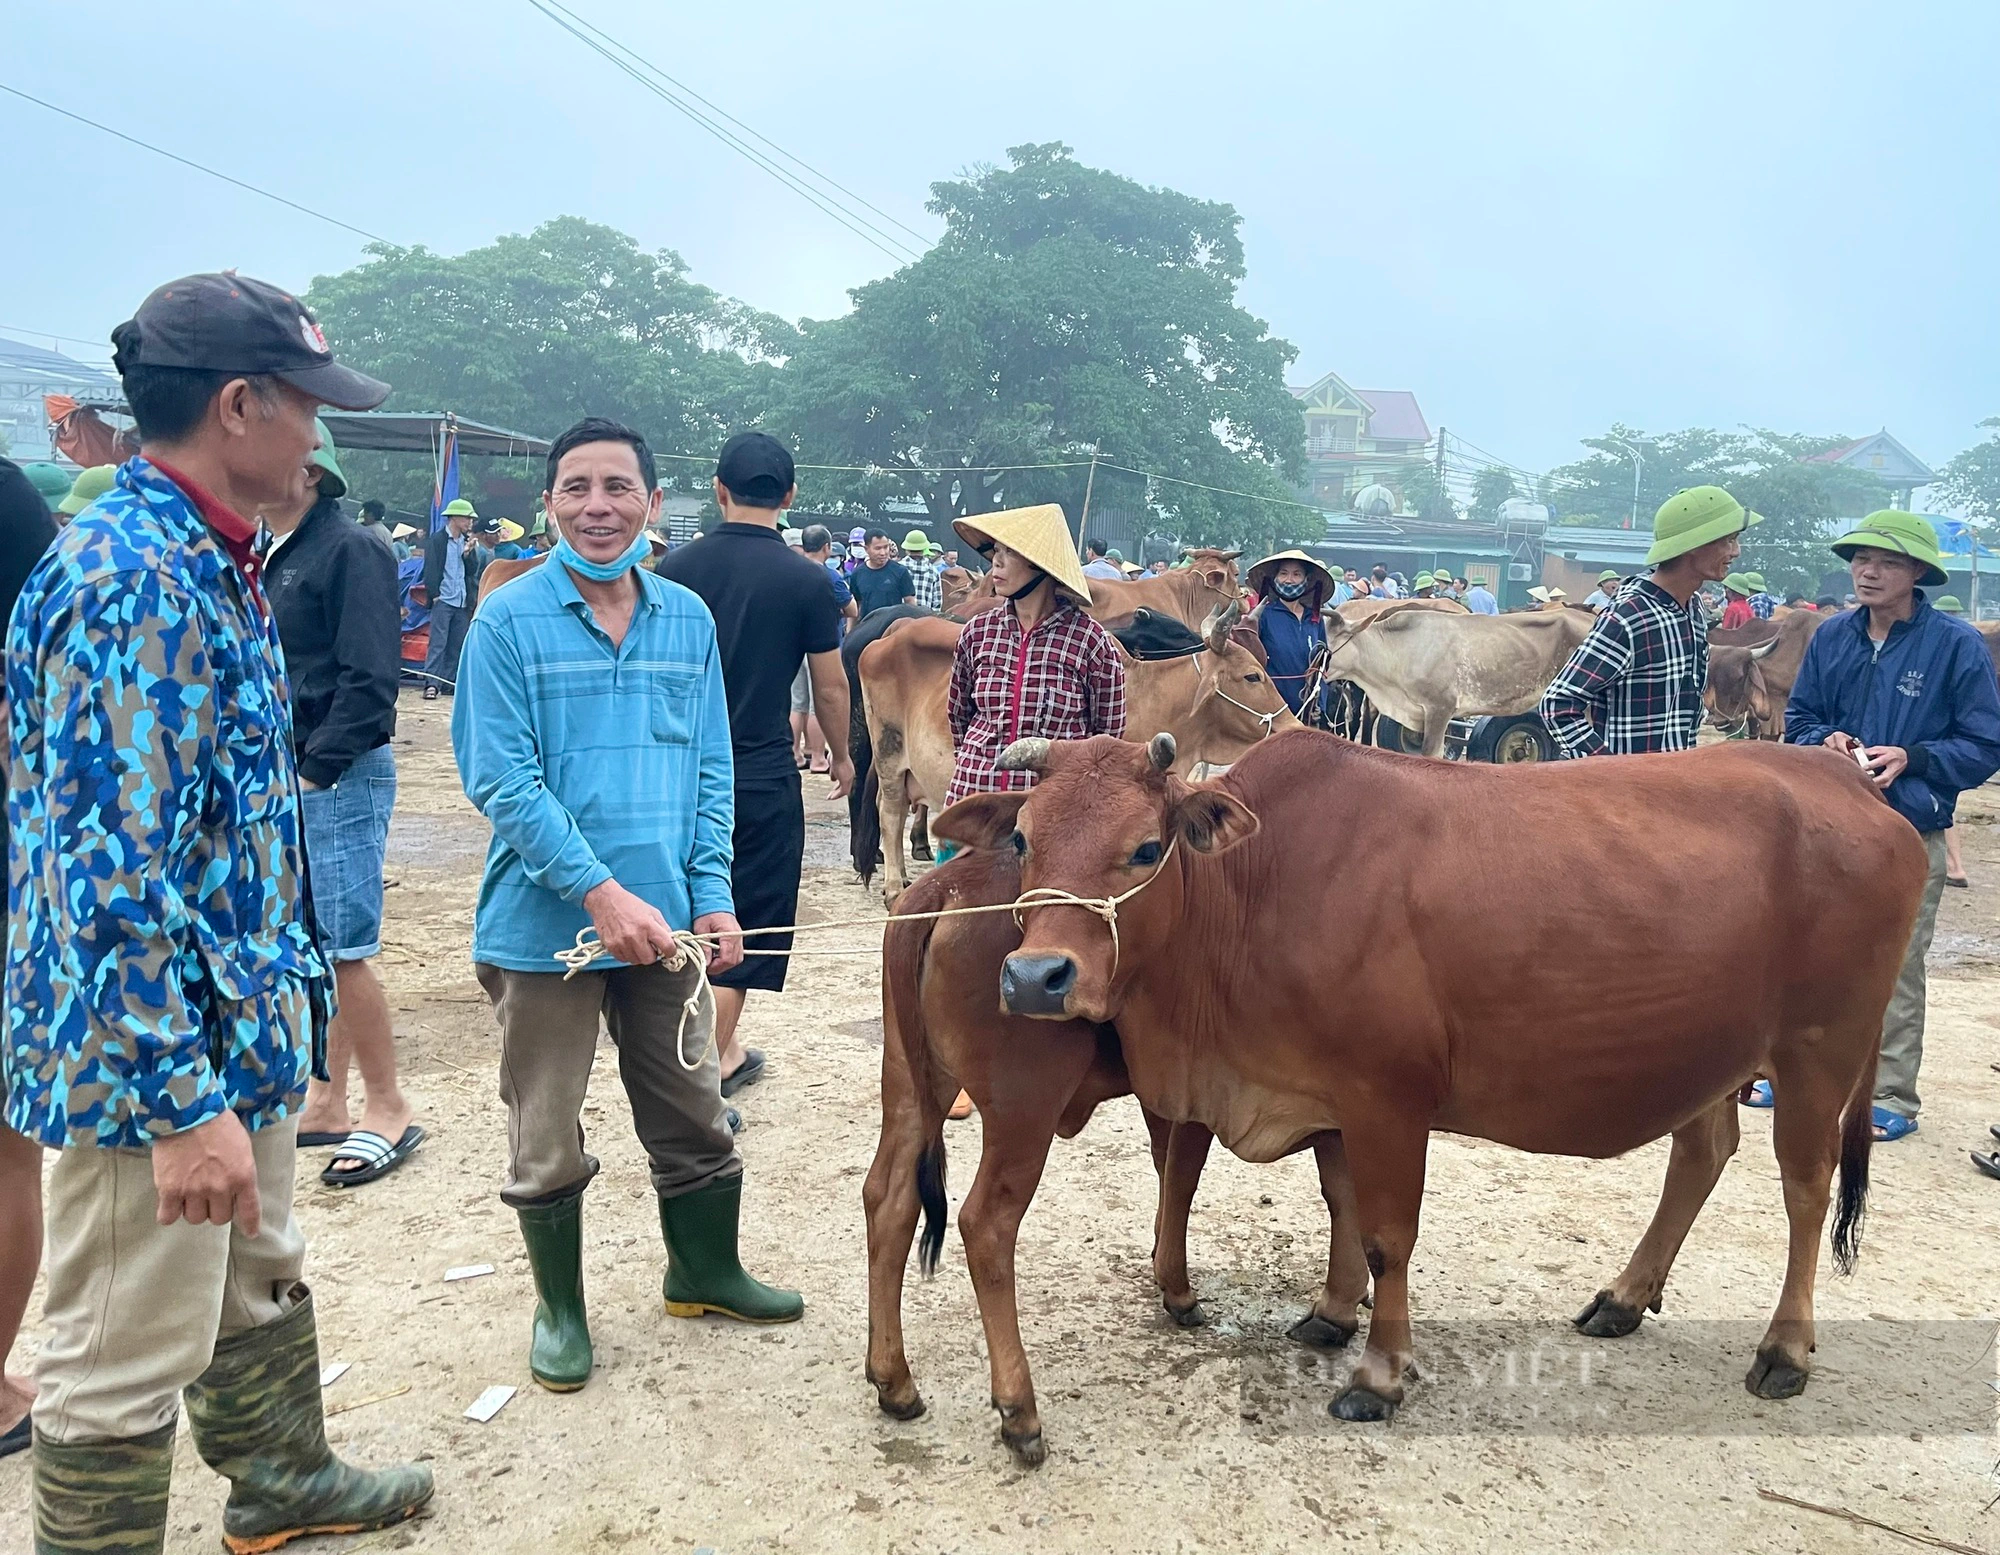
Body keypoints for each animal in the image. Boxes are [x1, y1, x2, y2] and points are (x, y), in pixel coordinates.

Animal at [856, 603, 1296, 903]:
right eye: (1252, 676)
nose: (1293, 727)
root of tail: (887, 635)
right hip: (889, 751)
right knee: (890, 812)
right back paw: (893, 887)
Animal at [944, 731, 1928, 1431]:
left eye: (1146, 849)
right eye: (1024, 838)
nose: (1036, 977)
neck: (1255, 892)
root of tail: (1846, 775)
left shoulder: (1389, 1097)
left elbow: (1387, 1234)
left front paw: (1377, 1375)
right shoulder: (1328, 1098)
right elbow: (1340, 1204)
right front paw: (1331, 1313)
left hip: (1817, 1055)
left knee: (1806, 1189)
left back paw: (1786, 1349)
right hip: (1710, 1054)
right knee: (1702, 1151)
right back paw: (1623, 1297)